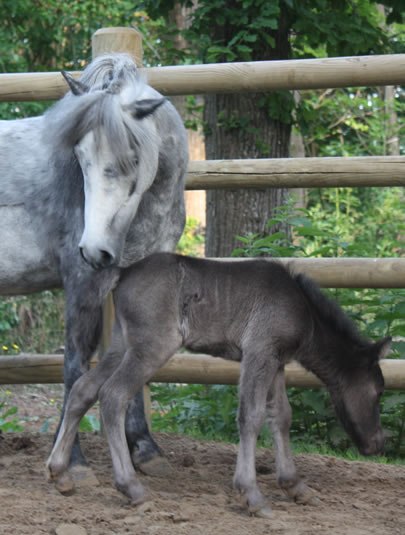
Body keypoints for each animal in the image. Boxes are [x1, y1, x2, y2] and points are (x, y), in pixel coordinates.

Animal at [47, 255, 388, 520]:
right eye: (379, 391)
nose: (379, 443)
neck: (305, 314)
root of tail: (122, 273)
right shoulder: (258, 351)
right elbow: (251, 415)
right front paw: (252, 494)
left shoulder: (276, 361)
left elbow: (281, 416)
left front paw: (295, 486)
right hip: (153, 345)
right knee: (113, 395)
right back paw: (132, 488)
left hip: (121, 343)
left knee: (82, 390)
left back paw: (60, 472)